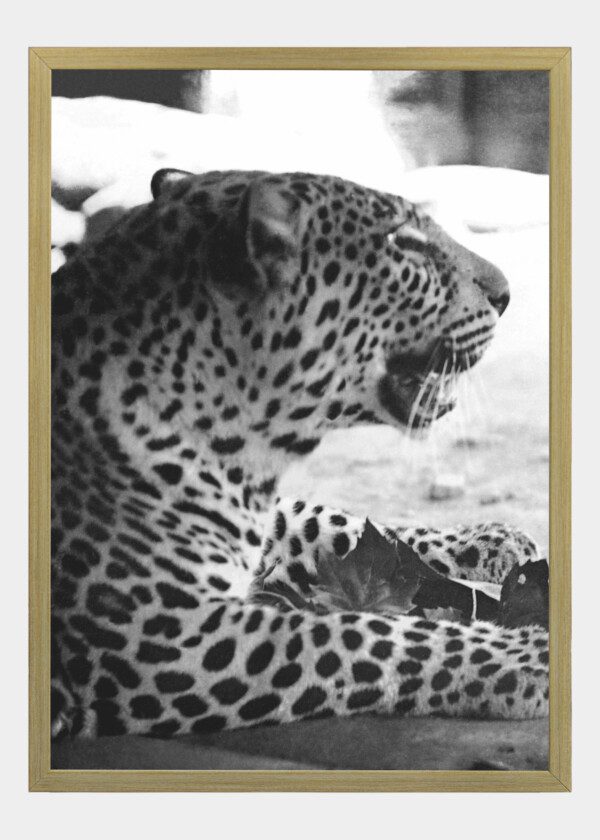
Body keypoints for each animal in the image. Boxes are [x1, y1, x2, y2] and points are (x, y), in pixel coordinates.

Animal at [51, 167, 548, 739]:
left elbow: (334, 519)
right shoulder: (167, 641)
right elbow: (368, 635)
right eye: (404, 244)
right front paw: (528, 654)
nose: (505, 293)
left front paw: (492, 541)